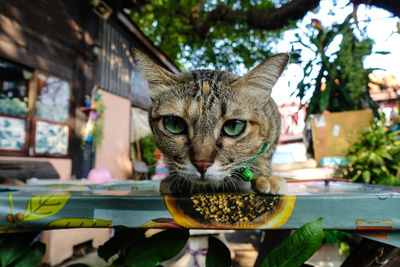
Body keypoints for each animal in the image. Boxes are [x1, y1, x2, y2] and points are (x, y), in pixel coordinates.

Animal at [136, 50, 290, 197]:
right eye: (174, 124)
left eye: (233, 126)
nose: (202, 164)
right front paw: (176, 180)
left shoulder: (273, 124)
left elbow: (263, 154)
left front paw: (265, 176)